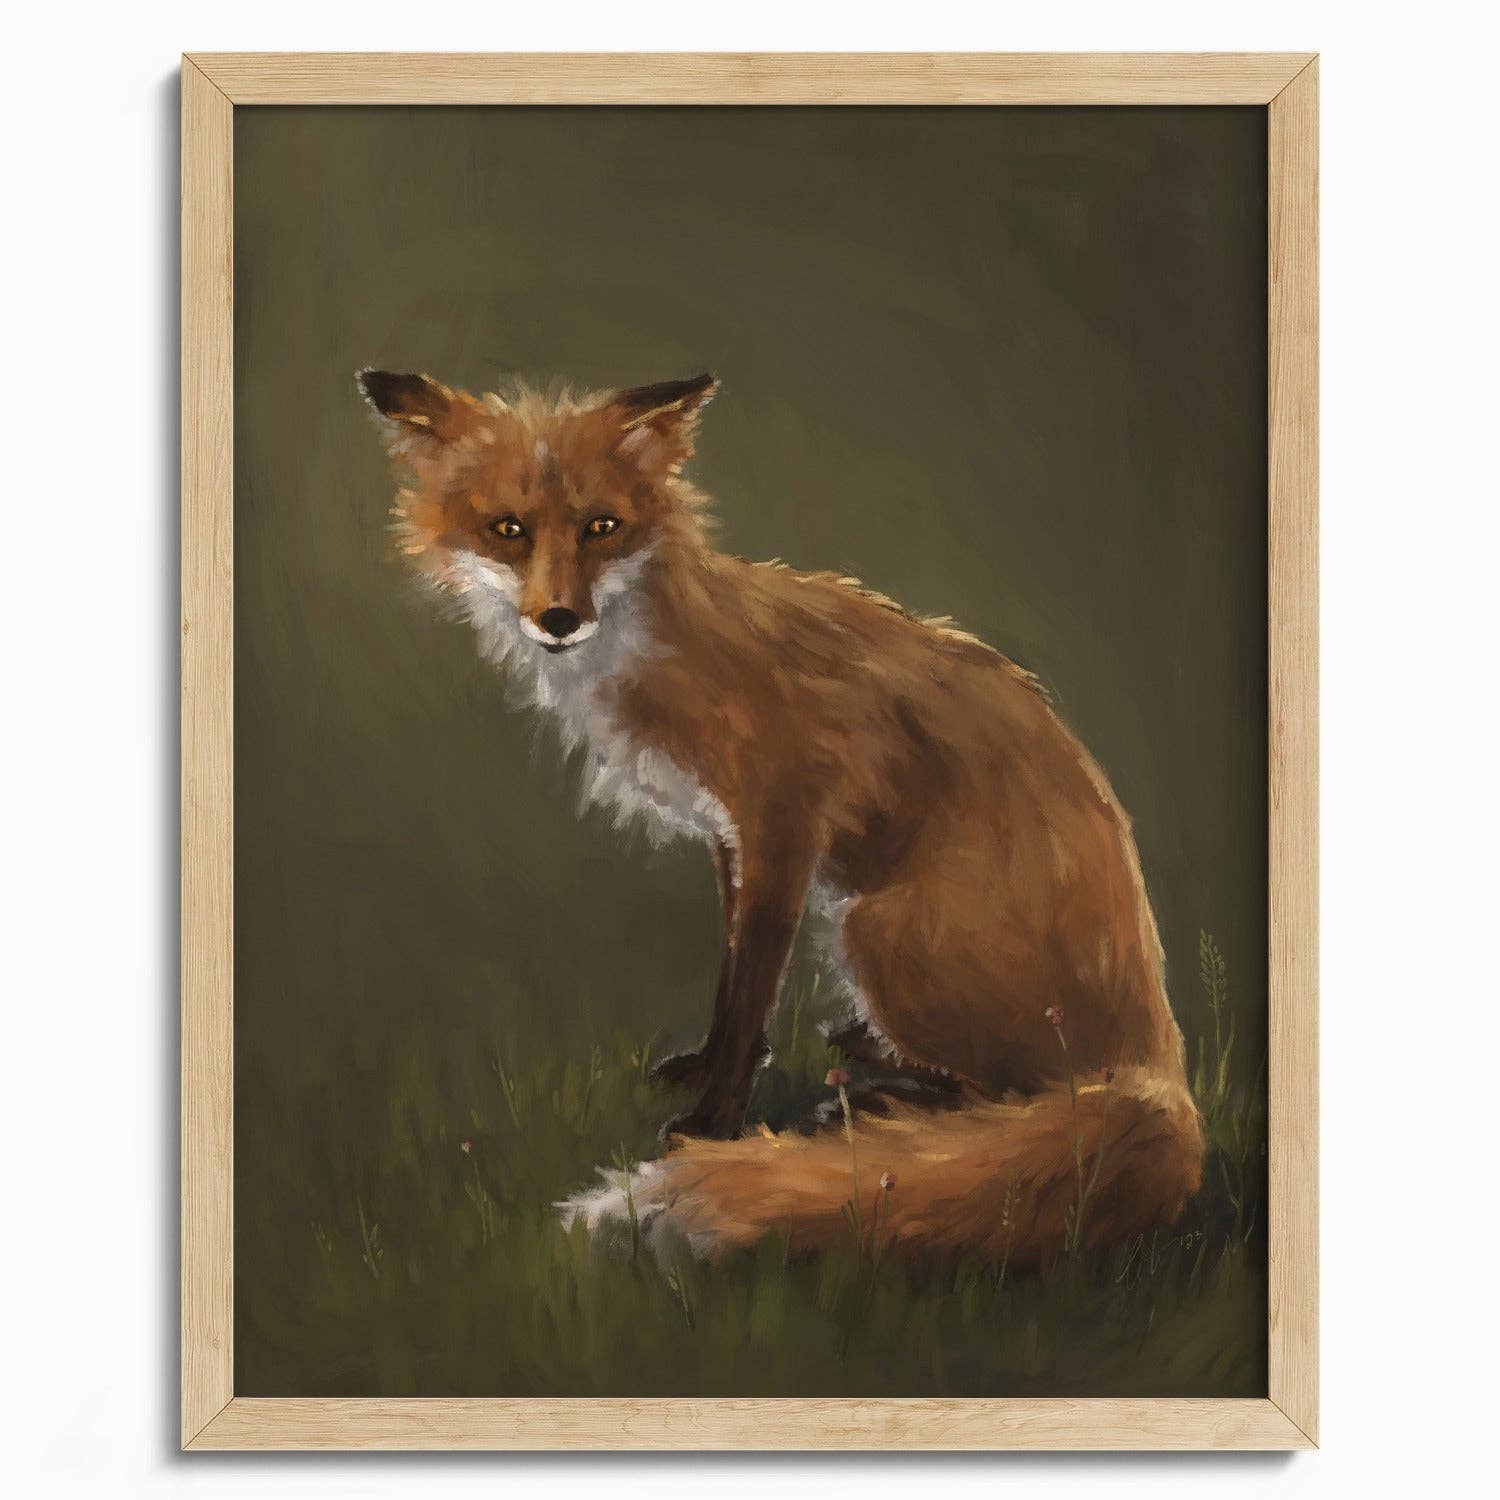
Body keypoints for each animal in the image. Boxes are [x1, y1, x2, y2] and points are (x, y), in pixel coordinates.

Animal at [357, 365, 1204, 1267]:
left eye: (602, 527)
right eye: (508, 530)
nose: (559, 619)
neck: (665, 649)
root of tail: (1160, 1062)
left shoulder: (784, 825)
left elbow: (751, 992)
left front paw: (711, 1124)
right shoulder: (730, 835)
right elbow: (733, 982)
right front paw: (705, 1069)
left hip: (874, 929)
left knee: (1027, 1096)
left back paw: (880, 1102)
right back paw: (872, 1061)